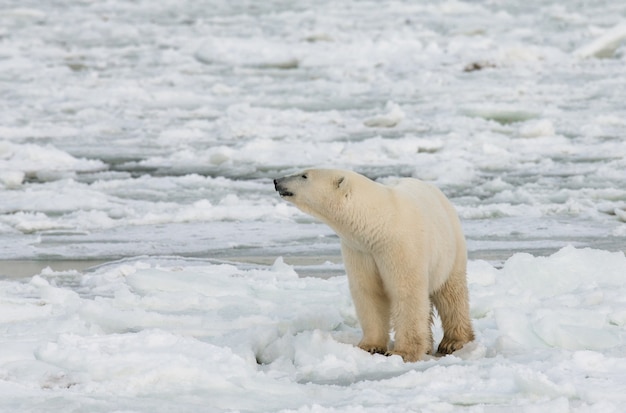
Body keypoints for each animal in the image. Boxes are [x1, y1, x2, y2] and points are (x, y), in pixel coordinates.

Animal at [272, 167, 472, 360]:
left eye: (304, 175)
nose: (276, 181)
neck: (379, 224)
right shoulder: (360, 251)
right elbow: (369, 292)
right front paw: (370, 346)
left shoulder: (399, 246)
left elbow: (406, 292)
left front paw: (403, 352)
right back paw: (429, 344)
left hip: (451, 248)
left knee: (451, 295)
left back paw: (453, 342)